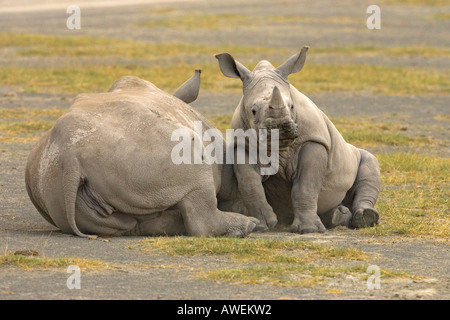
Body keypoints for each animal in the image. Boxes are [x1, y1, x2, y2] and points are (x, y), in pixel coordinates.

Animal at [214, 47, 380, 232]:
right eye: (253, 111)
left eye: (292, 106)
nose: (281, 128)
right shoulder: (243, 145)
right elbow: (250, 184)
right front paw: (263, 225)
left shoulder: (313, 141)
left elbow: (306, 185)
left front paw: (309, 230)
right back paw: (338, 216)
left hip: (353, 154)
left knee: (369, 164)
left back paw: (364, 218)